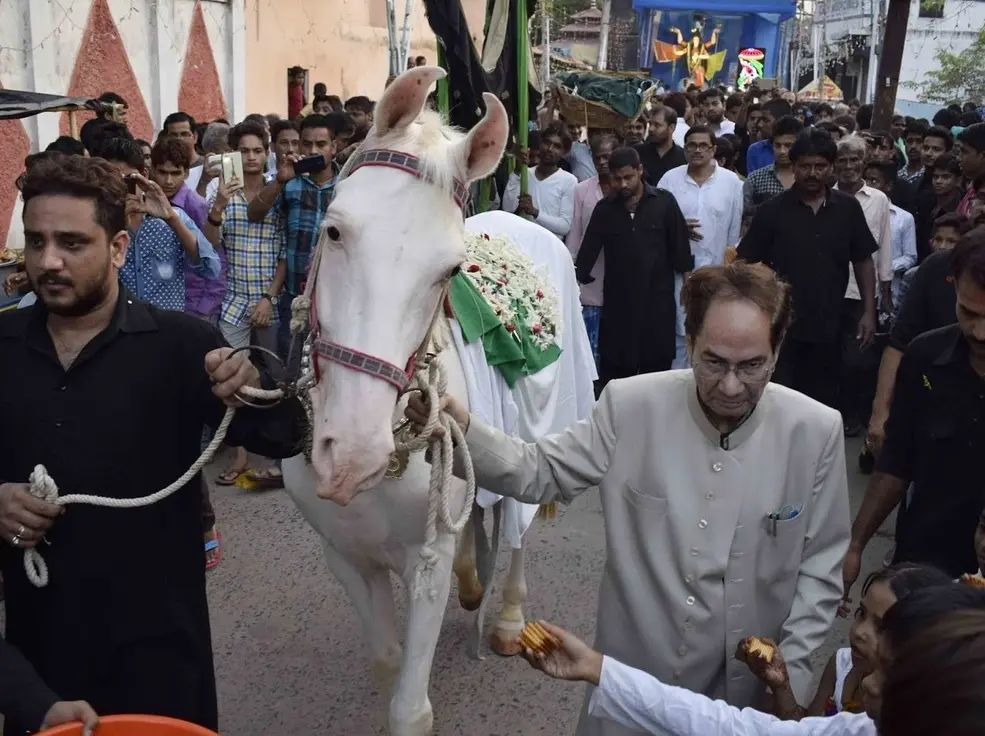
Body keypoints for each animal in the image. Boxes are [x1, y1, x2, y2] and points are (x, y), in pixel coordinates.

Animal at [280, 64, 596, 736]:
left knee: (518, 525)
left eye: (449, 271)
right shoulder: (344, 555)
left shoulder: (424, 561)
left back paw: (507, 615)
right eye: (334, 229)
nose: (354, 453)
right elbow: (385, 660)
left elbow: (410, 709)